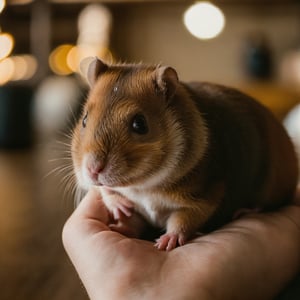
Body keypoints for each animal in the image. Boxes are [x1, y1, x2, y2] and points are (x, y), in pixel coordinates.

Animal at [71, 56, 298, 251]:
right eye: (84, 119)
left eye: (140, 124)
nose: (92, 169)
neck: (144, 187)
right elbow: (125, 212)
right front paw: (119, 214)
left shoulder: (203, 198)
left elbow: (183, 220)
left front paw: (166, 242)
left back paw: (244, 212)